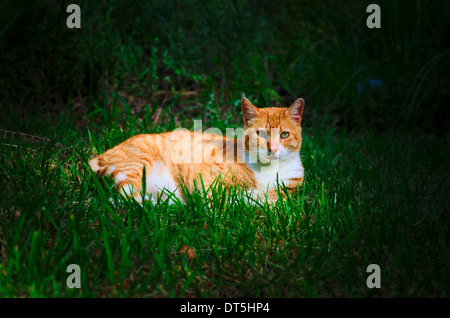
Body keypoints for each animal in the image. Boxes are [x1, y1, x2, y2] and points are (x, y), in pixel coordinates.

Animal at [89, 97, 306, 205]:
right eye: (260, 134)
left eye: (284, 135)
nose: (272, 149)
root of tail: (99, 155)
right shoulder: (208, 179)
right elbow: (218, 200)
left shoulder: (288, 191)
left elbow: (272, 201)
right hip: (137, 164)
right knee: (126, 195)